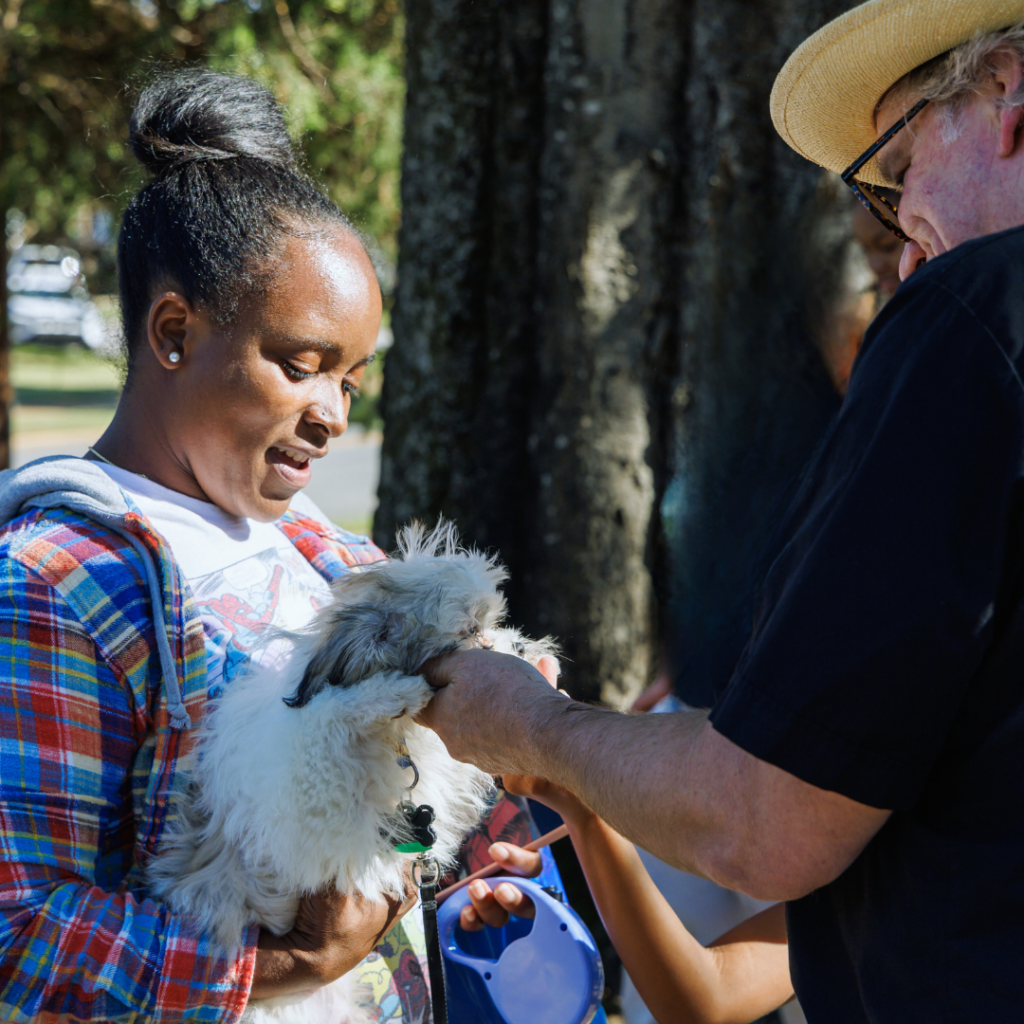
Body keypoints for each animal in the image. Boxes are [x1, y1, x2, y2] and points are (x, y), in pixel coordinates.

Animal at [148, 524, 557, 1019]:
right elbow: (328, 717)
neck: (387, 738)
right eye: (472, 630)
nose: (520, 646)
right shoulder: (305, 800)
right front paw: (387, 693)